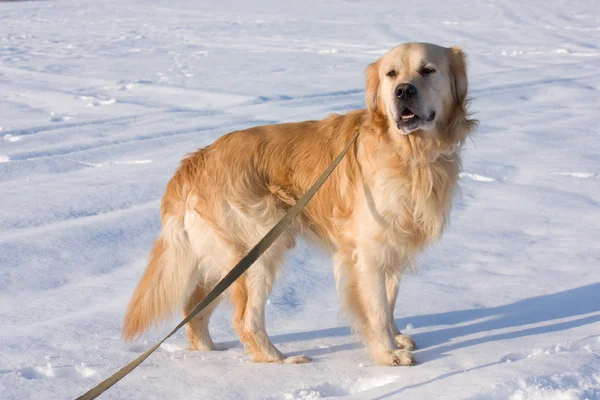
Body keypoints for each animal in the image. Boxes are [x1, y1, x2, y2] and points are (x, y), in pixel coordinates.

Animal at [123, 43, 478, 366]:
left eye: (428, 70)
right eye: (391, 74)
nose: (403, 90)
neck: (410, 154)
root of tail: (194, 162)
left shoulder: (393, 244)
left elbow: (388, 300)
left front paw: (396, 338)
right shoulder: (367, 250)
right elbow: (375, 309)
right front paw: (387, 354)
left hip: (226, 258)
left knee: (194, 311)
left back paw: (211, 355)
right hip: (258, 249)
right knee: (244, 319)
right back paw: (279, 360)